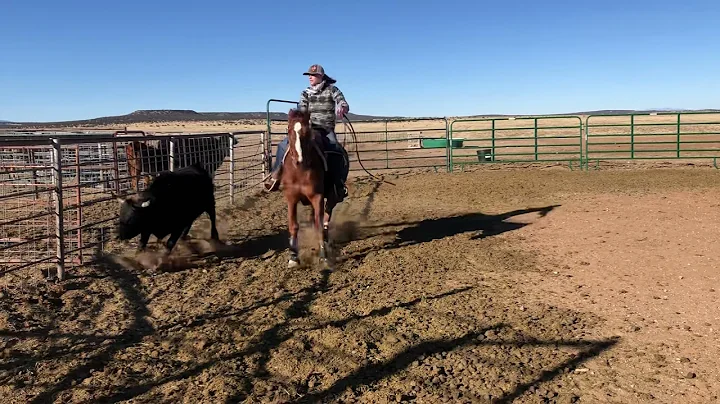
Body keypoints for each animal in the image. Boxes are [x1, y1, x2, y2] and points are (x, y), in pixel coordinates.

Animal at [280, 109, 338, 270]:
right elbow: (294, 226)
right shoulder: (291, 198)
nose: (299, 160)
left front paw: (324, 257)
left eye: (307, 132)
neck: (300, 171)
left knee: (326, 216)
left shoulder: (317, 197)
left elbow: (319, 226)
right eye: (289, 130)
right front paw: (293, 257)